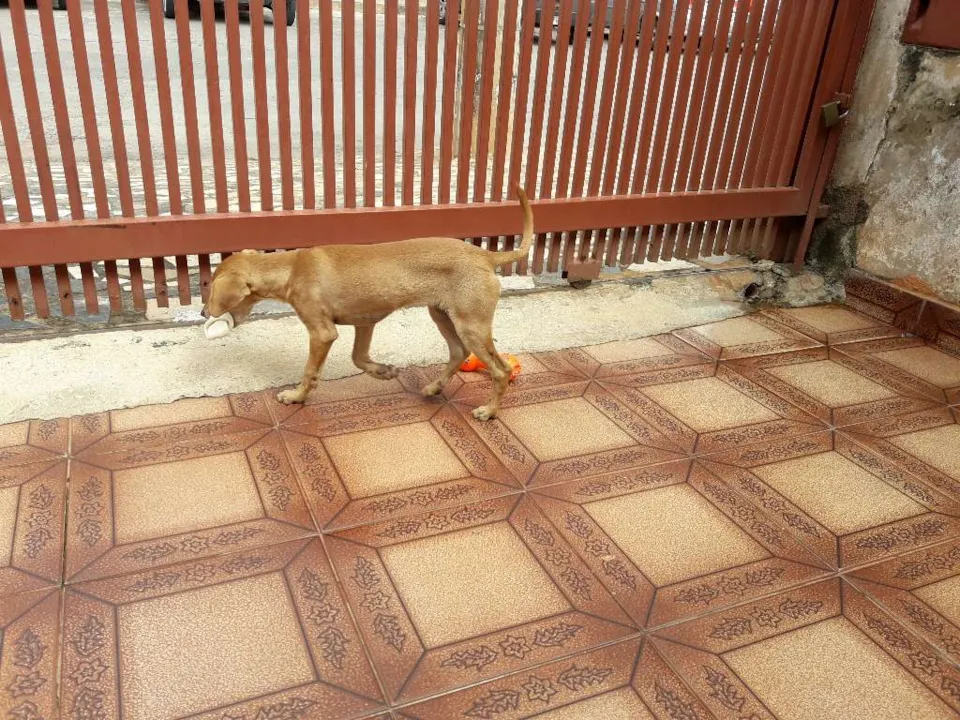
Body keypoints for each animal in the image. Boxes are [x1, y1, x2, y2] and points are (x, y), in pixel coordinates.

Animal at [202, 187, 534, 421]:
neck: (292, 267)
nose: (203, 312)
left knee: (501, 370)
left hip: (471, 324)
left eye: (210, 287)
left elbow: (310, 371)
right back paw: (434, 387)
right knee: (458, 352)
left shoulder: (322, 333)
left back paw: (489, 411)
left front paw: (297, 396)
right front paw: (382, 371)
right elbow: (358, 358)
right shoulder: (365, 322)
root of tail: (486, 256)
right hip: (443, 315)